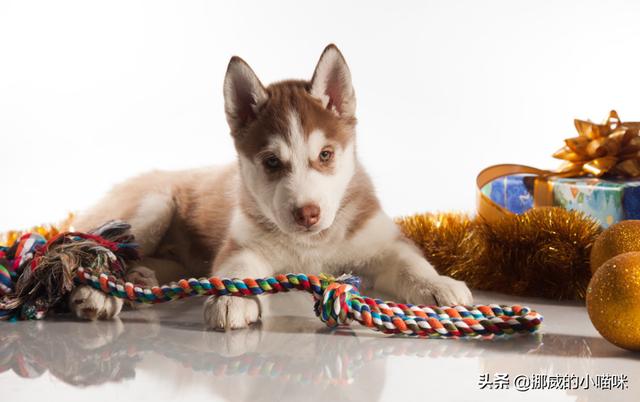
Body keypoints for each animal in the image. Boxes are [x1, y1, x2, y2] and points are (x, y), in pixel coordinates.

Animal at [70, 43, 472, 330]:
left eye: (325, 155)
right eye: (271, 162)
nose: (307, 214)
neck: (312, 246)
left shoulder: (383, 241)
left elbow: (410, 263)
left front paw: (438, 285)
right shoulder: (241, 246)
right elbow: (237, 272)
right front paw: (234, 299)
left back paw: (139, 279)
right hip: (151, 207)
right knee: (103, 249)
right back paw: (99, 294)